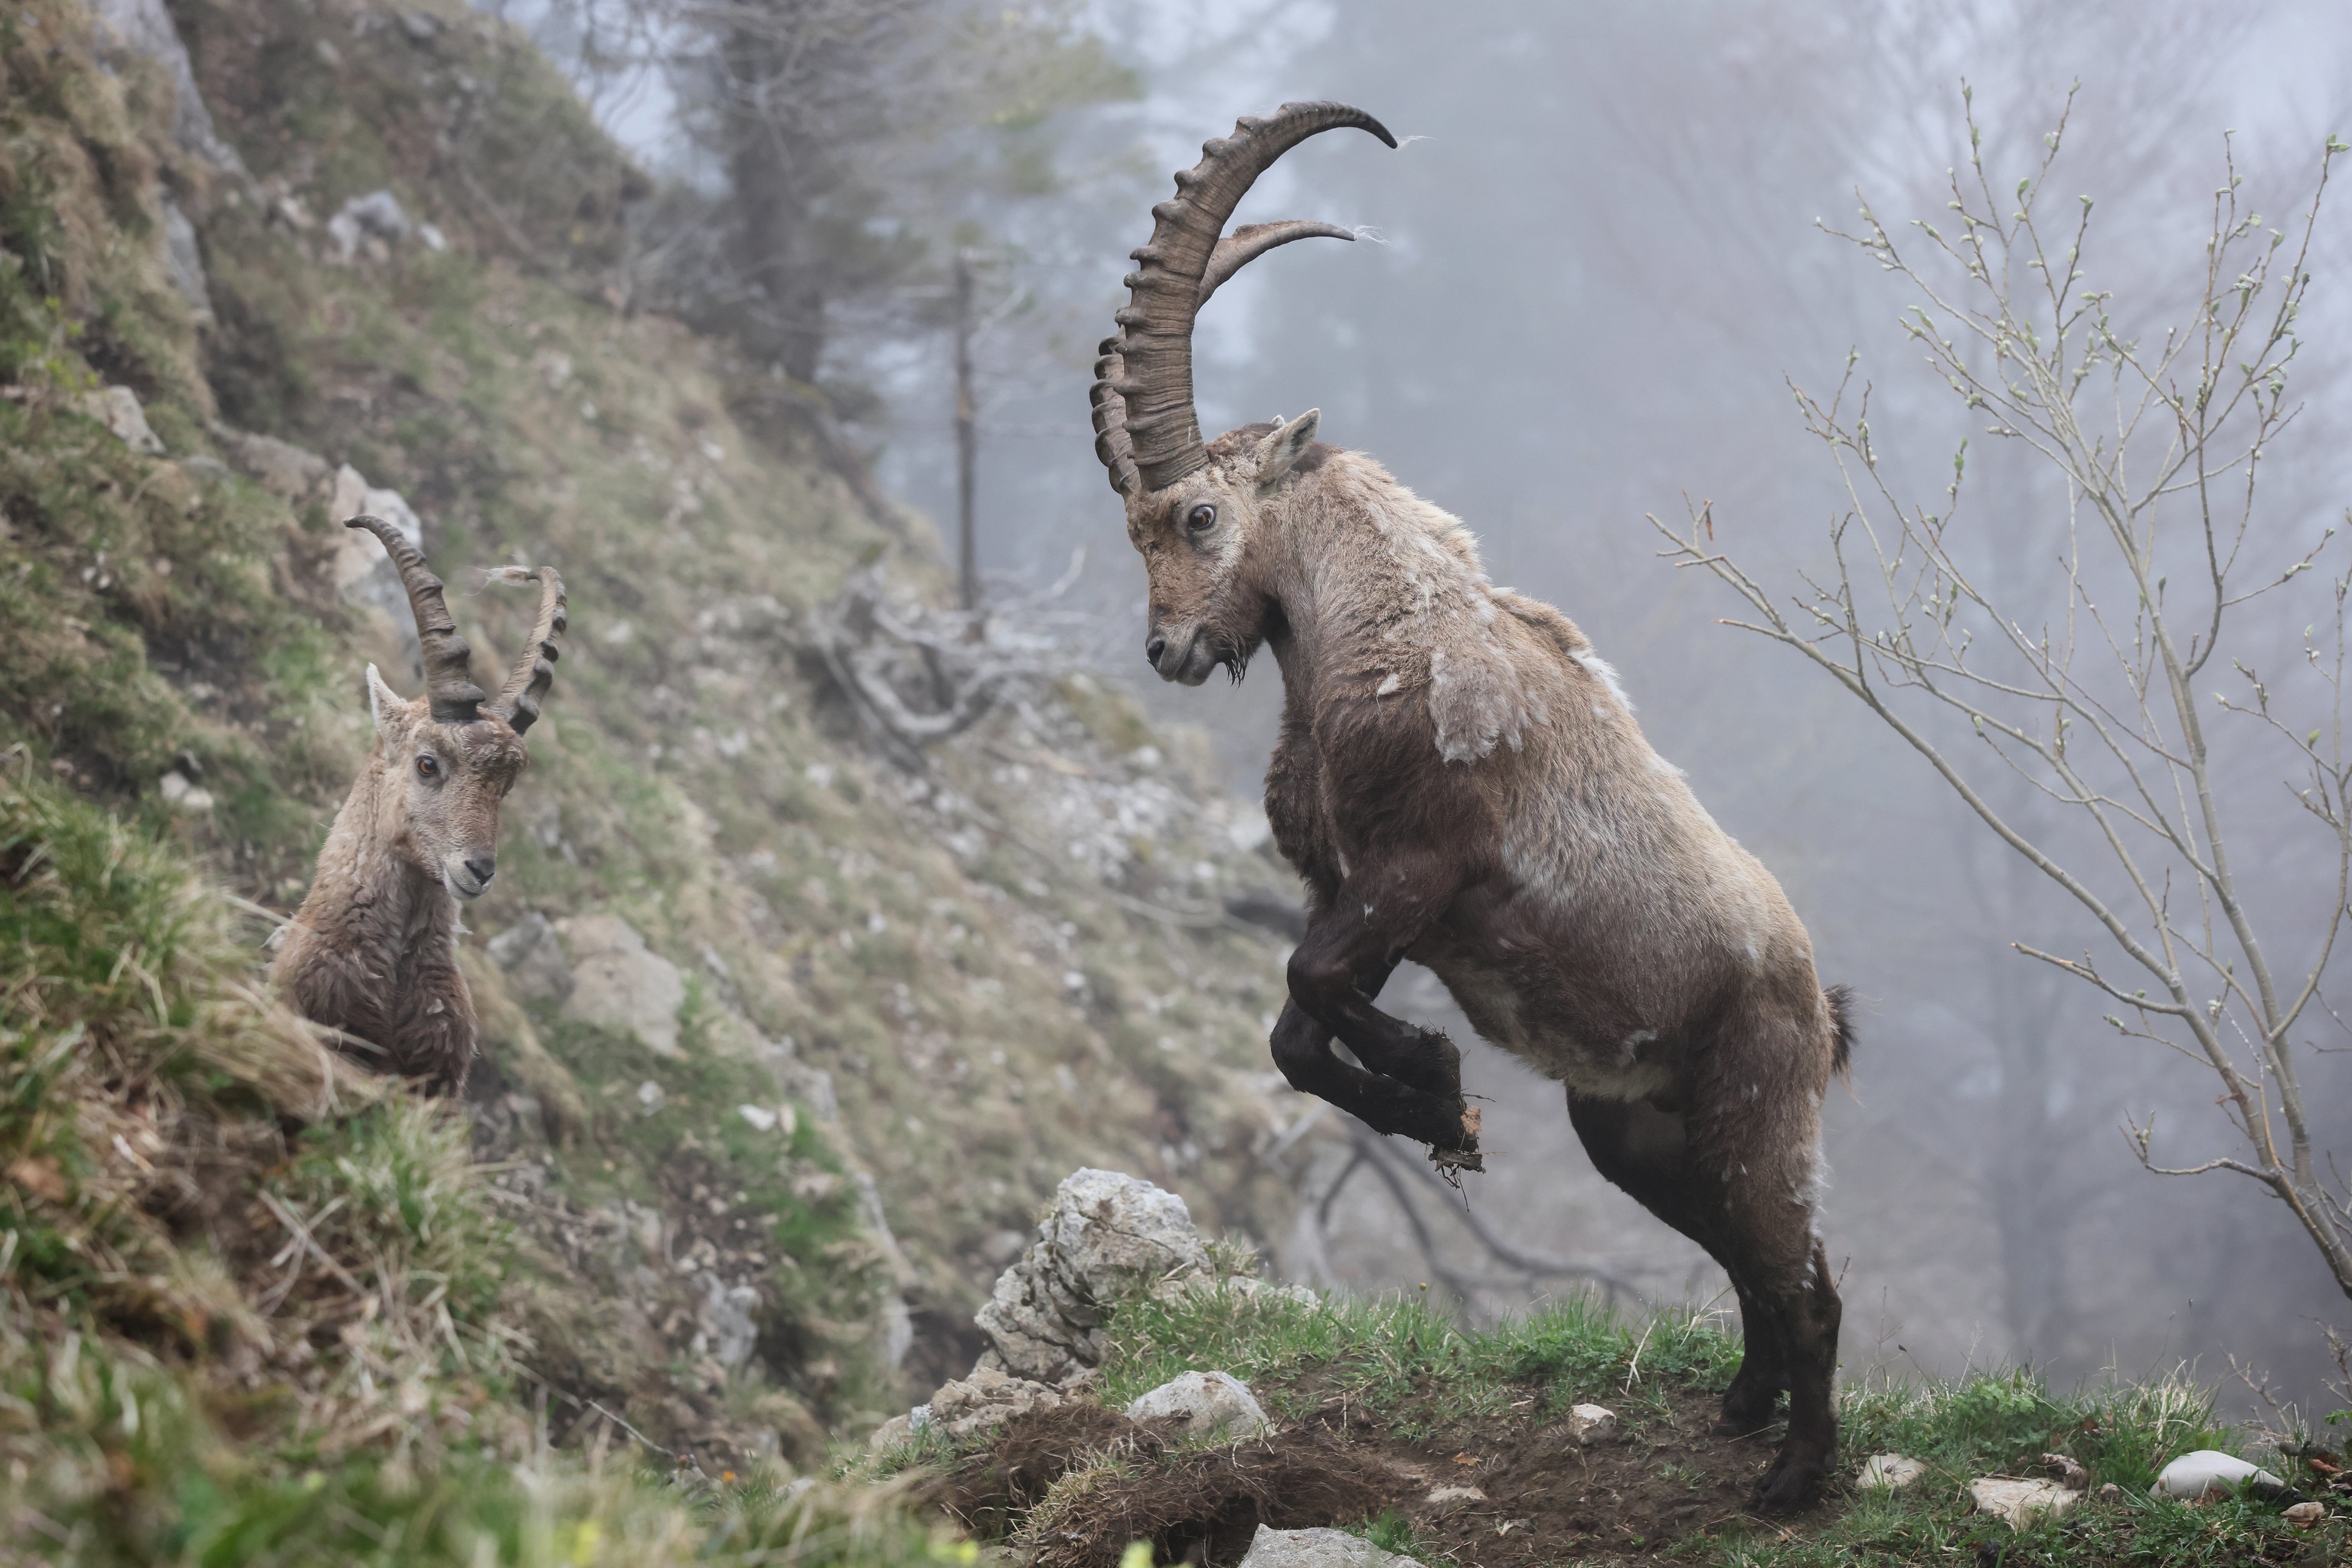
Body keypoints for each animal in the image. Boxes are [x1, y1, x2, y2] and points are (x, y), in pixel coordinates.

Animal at [1089, 102, 1853, 1512]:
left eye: (1199, 513)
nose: (1168, 652)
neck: (1378, 627)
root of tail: (1817, 1002)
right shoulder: (1354, 892)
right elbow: (1294, 1033)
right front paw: (1440, 1106)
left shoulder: (1415, 874)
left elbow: (1311, 989)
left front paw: (1443, 1090)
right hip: (1634, 1130)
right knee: (1753, 1262)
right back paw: (1741, 1406)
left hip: (1755, 1109)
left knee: (1807, 1280)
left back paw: (1793, 1476)